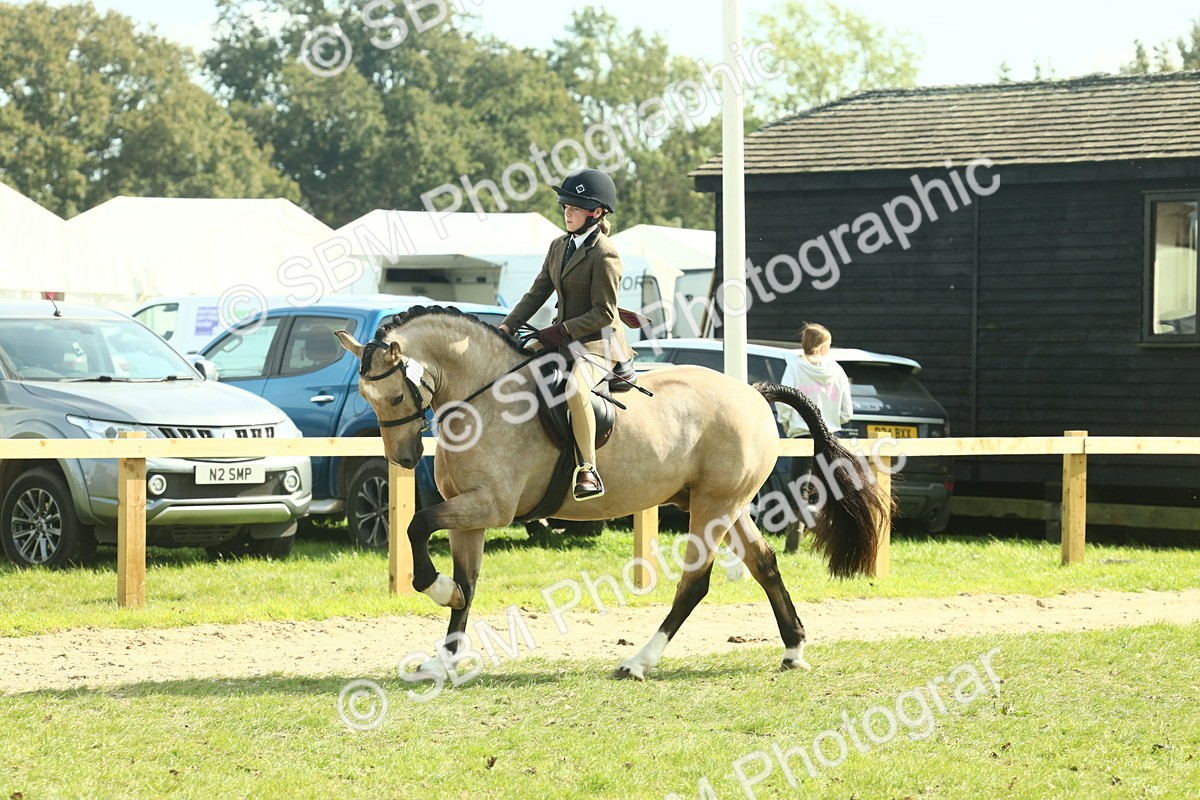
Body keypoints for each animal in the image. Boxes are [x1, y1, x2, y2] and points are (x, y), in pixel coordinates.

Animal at [335, 306, 891, 680]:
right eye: (366, 396)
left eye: (394, 395)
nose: (404, 459)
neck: (484, 399)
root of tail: (755, 392)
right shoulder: (469, 514)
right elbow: (467, 587)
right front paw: (444, 660)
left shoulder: (489, 507)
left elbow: (416, 525)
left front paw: (435, 588)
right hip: (723, 504)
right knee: (764, 563)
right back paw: (794, 650)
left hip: (713, 508)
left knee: (695, 584)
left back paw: (639, 661)